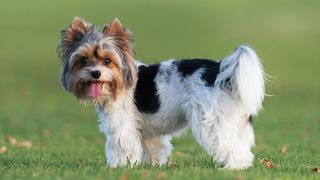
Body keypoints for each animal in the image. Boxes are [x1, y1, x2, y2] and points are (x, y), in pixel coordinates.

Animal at [57, 16, 264, 169]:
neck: (120, 80)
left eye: (107, 61)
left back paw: (235, 167)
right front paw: (153, 166)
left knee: (231, 146)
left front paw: (118, 167)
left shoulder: (122, 126)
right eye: (83, 60)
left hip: (211, 121)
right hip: (234, 121)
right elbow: (154, 149)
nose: (95, 73)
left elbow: (120, 147)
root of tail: (221, 69)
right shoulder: (150, 133)